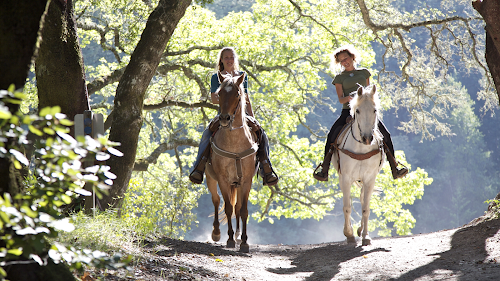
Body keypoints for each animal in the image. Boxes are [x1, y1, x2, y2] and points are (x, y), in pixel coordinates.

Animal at [205, 71, 258, 250]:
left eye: (237, 94)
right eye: (219, 93)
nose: (224, 119)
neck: (235, 145)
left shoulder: (246, 181)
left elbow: (243, 210)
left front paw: (244, 241)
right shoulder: (223, 180)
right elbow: (227, 208)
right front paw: (229, 239)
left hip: (237, 184)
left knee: (237, 207)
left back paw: (238, 235)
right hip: (210, 178)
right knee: (216, 200)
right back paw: (216, 232)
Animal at [334, 85, 384, 245]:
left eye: (375, 110)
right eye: (357, 111)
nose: (367, 138)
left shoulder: (369, 179)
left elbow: (365, 208)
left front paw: (366, 236)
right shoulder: (345, 178)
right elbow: (347, 207)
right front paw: (349, 234)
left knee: (362, 200)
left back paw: (361, 230)